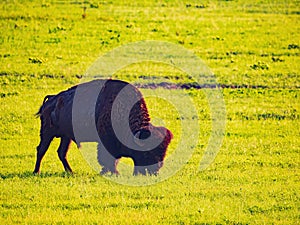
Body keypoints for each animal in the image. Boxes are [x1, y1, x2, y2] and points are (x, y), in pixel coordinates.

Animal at [33, 79, 173, 176]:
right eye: (147, 152)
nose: (154, 172)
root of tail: (51, 100)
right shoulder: (106, 142)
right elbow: (108, 159)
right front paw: (114, 173)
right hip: (47, 133)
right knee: (41, 149)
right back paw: (36, 172)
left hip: (65, 137)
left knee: (61, 153)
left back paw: (70, 172)